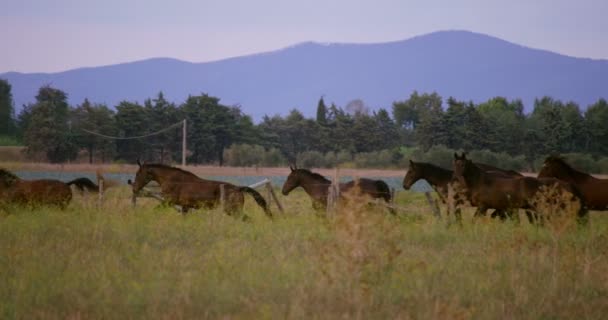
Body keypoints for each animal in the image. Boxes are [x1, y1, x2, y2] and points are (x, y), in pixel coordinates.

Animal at [132, 160, 272, 218]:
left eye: (138, 174)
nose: (134, 188)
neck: (173, 180)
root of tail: (237, 188)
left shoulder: (168, 202)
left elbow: (155, 210)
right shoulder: (185, 207)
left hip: (232, 209)